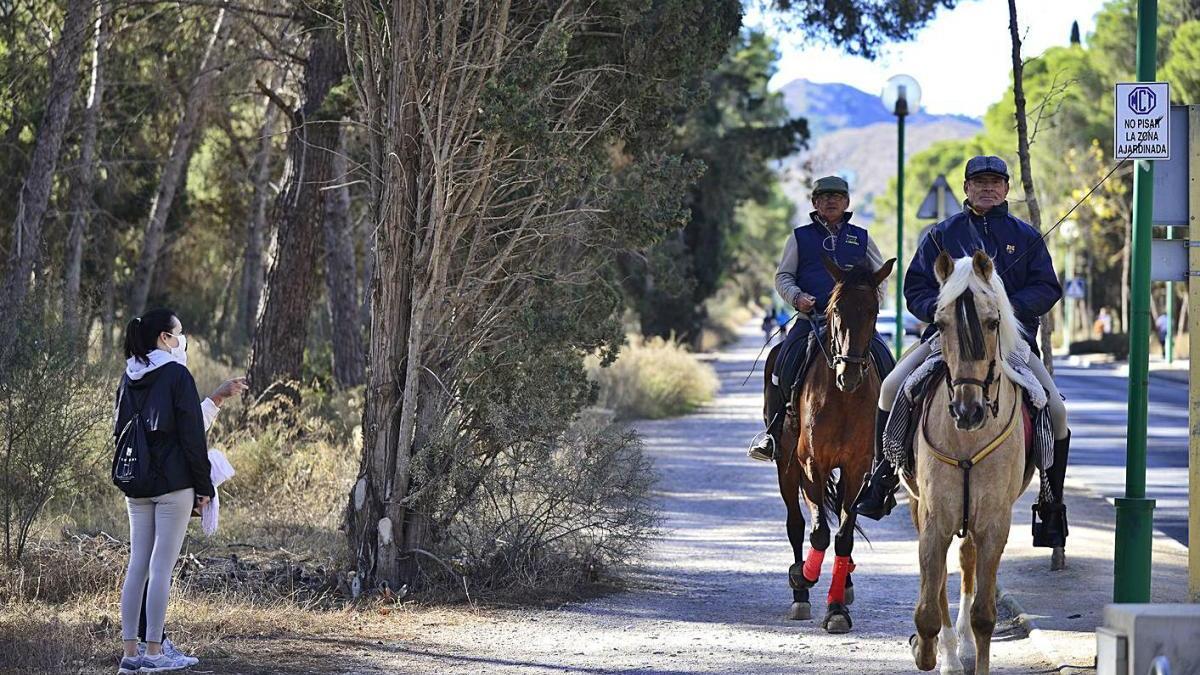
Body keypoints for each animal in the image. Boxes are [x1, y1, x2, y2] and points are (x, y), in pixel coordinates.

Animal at [763, 255, 897, 629]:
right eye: (836, 309)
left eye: (874, 311)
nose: (848, 374)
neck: (843, 398)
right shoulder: (812, 465)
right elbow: (819, 532)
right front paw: (803, 577)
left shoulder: (857, 469)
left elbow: (843, 536)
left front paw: (837, 607)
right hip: (786, 467)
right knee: (796, 525)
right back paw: (800, 593)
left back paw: (845, 581)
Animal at [907, 248, 1032, 672]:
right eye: (940, 324)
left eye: (993, 322)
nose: (967, 411)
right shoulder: (934, 518)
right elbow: (928, 607)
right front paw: (929, 652)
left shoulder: (993, 522)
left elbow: (984, 615)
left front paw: (969, 653)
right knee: (943, 578)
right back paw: (946, 652)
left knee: (966, 563)